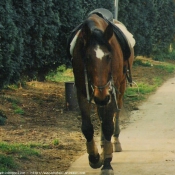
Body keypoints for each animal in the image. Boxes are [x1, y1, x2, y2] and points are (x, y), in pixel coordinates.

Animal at [69, 10, 134, 174]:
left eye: (109, 57)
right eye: (87, 57)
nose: (102, 97)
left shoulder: (111, 91)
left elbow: (108, 125)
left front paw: (107, 163)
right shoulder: (82, 91)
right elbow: (87, 127)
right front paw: (95, 158)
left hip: (120, 88)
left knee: (116, 113)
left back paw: (115, 142)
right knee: (101, 115)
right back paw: (104, 144)